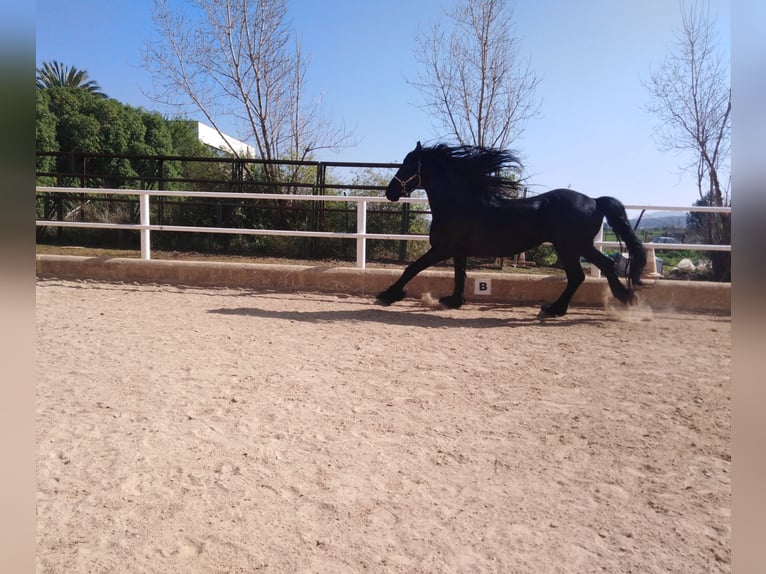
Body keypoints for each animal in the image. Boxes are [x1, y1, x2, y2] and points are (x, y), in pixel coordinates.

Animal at [376, 141, 646, 317]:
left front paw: (388, 295)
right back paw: (626, 298)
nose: (390, 192)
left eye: (407, 164)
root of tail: (594, 201)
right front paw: (453, 301)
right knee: (606, 266)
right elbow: (460, 275)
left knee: (577, 276)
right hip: (582, 246)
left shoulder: (443, 248)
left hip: (568, 247)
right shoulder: (459, 250)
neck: (458, 202)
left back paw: (555, 309)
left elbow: (412, 268)